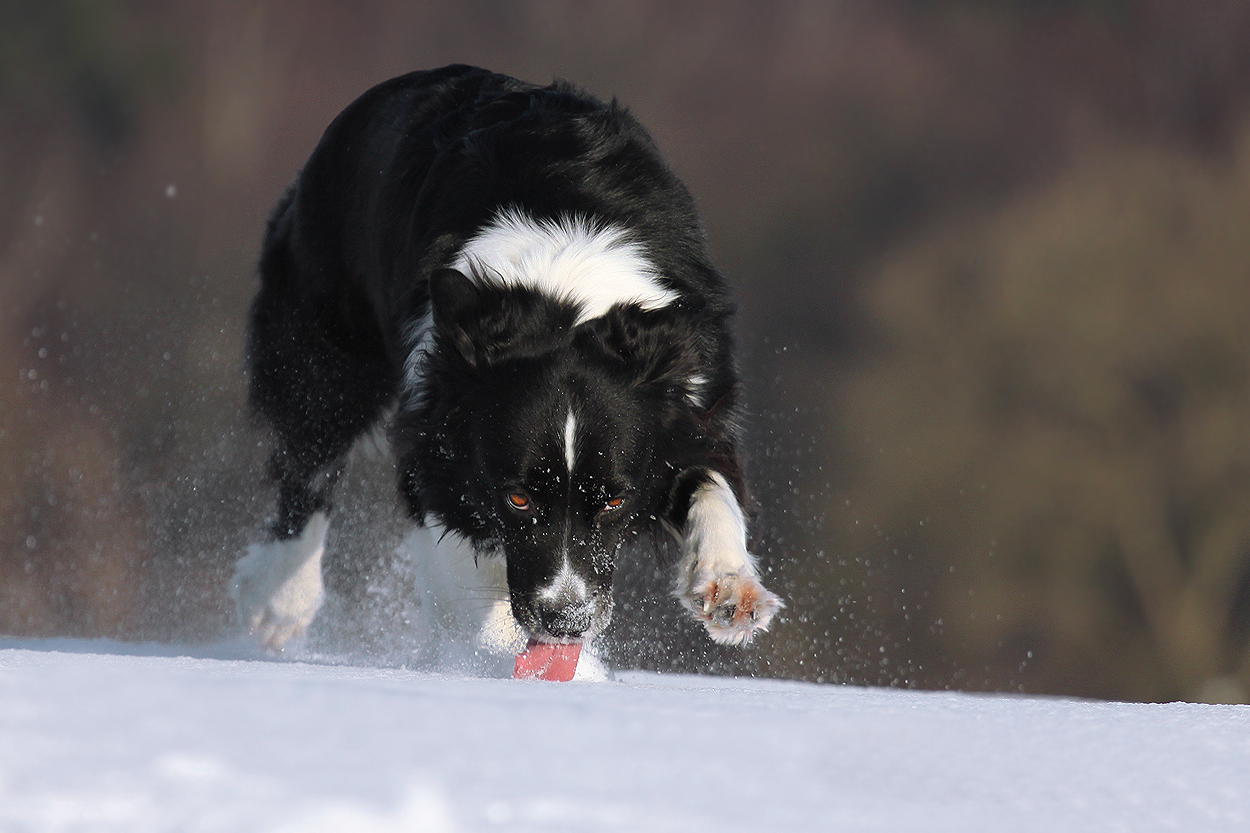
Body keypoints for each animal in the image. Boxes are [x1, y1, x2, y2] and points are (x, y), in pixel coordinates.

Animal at [232, 61, 780, 665]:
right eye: (518, 498)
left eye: (614, 500)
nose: (565, 623)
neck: (568, 292)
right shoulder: (435, 428)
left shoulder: (689, 397)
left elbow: (713, 482)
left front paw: (730, 589)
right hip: (323, 340)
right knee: (310, 457)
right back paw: (278, 602)